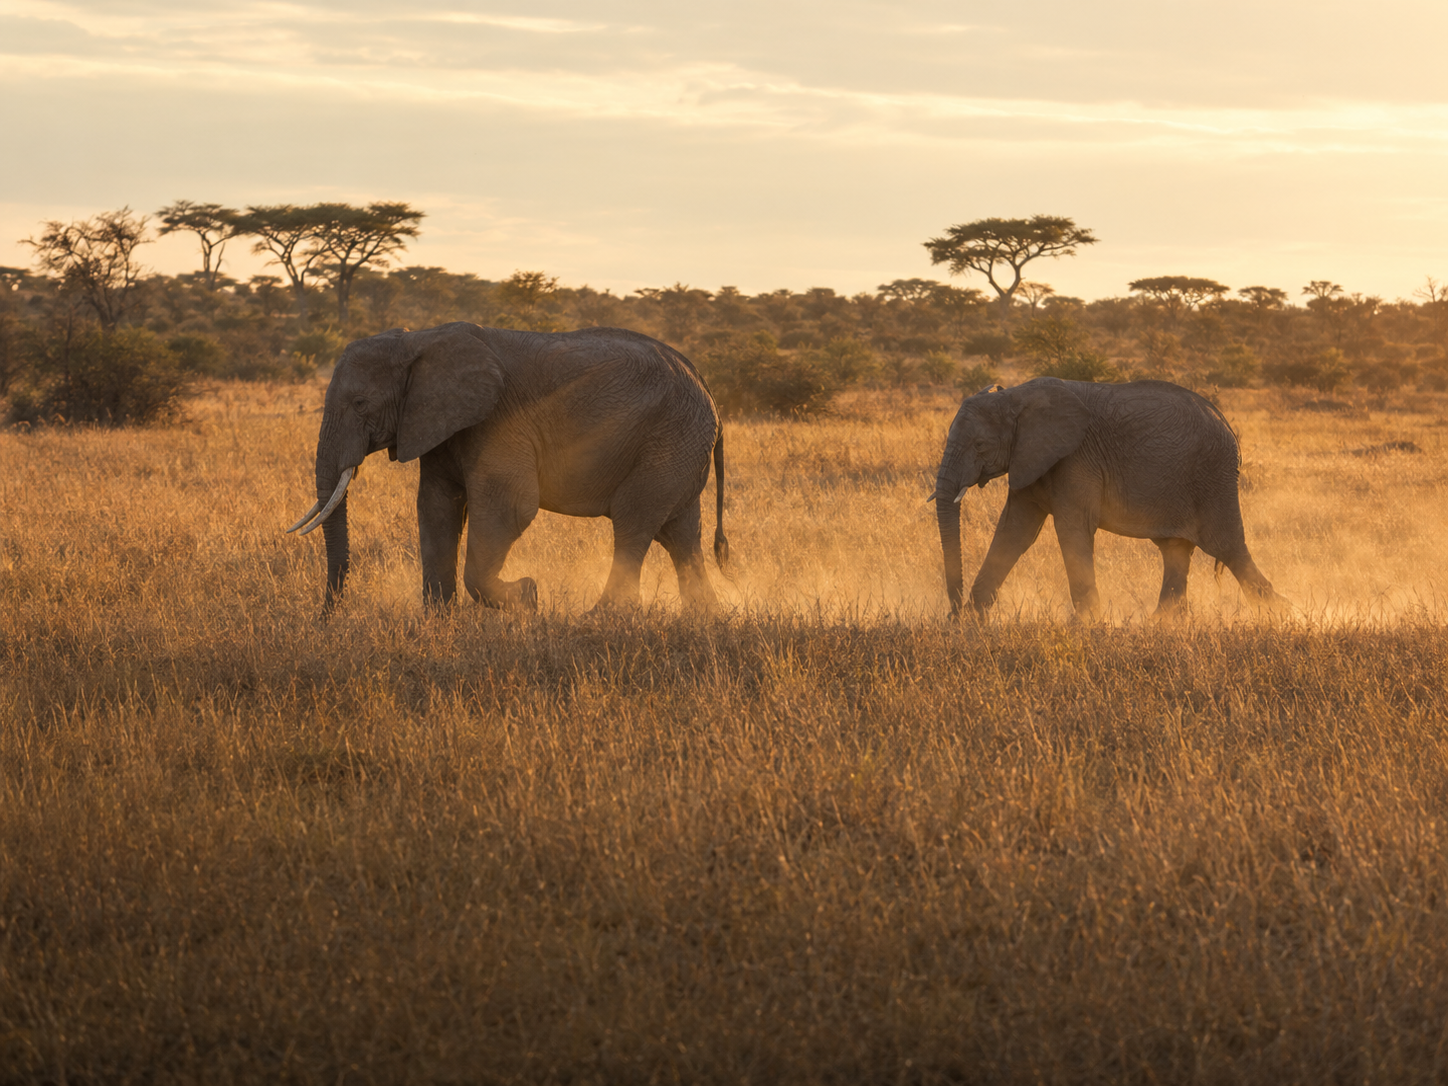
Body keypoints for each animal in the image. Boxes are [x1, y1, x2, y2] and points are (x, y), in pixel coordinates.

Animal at [287, 322, 728, 613]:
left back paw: (602, 618)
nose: (327, 619)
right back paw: (703, 618)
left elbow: (511, 506)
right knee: (680, 532)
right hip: (680, 444)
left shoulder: (499, 420)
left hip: (670, 438)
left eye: (361, 404)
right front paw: (438, 625)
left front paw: (528, 597)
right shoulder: (438, 422)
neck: (418, 339)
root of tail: (707, 387)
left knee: (634, 521)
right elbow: (436, 508)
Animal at [933, 377, 1283, 619]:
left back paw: (1280, 614)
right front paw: (970, 622)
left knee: (1227, 547)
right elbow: (1015, 532)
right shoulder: (1029, 458)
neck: (1015, 396)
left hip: (1213, 477)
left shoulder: (1075, 459)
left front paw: (1086, 625)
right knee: (1176, 550)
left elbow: (1071, 529)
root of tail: (1223, 420)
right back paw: (1163, 624)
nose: (952, 610)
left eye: (979, 446)